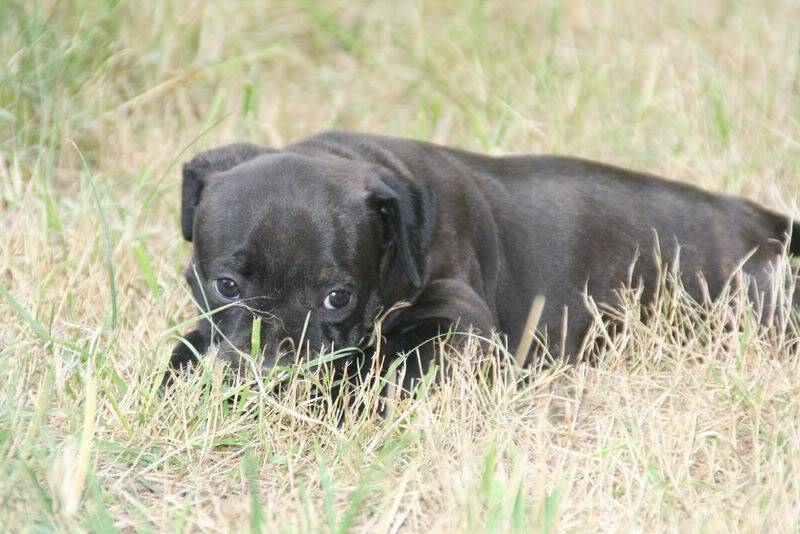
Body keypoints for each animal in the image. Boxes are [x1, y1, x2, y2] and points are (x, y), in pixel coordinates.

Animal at [166, 131, 796, 386]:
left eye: (336, 297)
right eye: (226, 285)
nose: (271, 372)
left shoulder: (458, 321)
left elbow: (396, 369)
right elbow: (187, 346)